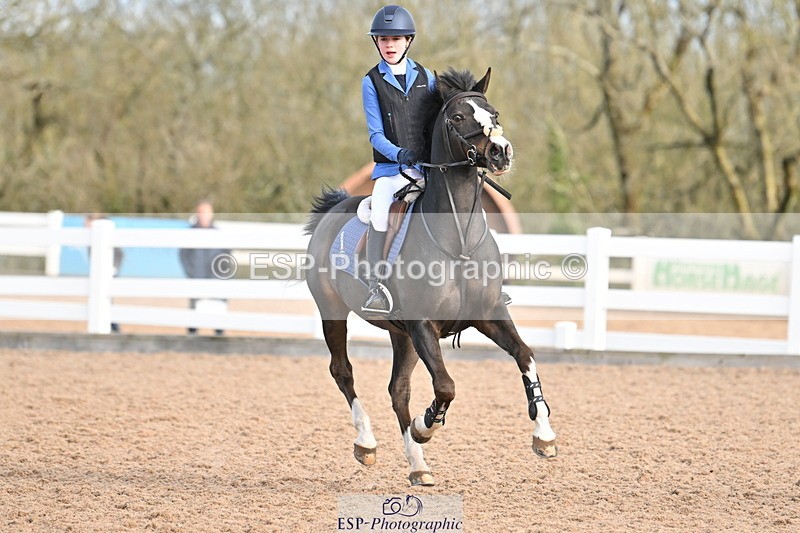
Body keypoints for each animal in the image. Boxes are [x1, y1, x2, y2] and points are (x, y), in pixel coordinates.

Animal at [304, 68, 557, 486]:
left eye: (494, 112)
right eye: (457, 117)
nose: (500, 151)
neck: (458, 238)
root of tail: (334, 208)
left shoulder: (488, 314)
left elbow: (525, 355)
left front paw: (545, 435)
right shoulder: (424, 324)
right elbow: (446, 385)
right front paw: (427, 425)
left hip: (400, 334)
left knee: (398, 390)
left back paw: (418, 465)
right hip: (334, 313)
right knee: (343, 372)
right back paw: (368, 444)